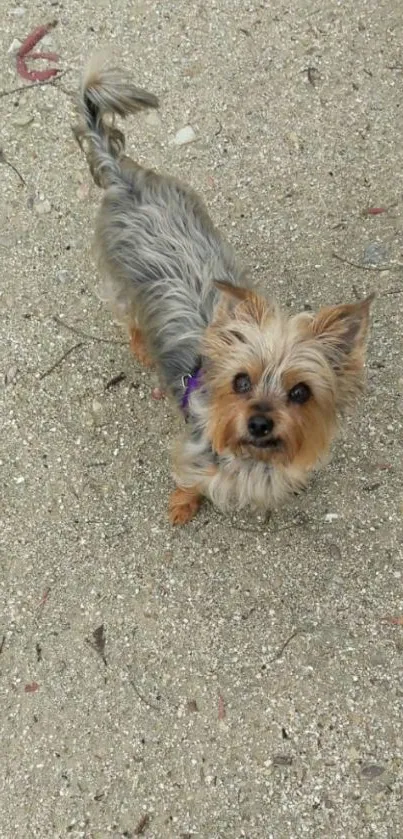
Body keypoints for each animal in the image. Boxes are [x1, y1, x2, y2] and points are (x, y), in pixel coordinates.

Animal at [75, 60, 376, 524]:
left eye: (300, 392)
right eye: (240, 381)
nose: (259, 423)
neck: (253, 458)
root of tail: (121, 176)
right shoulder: (197, 455)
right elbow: (189, 481)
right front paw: (182, 505)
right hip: (118, 283)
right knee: (129, 319)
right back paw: (141, 348)